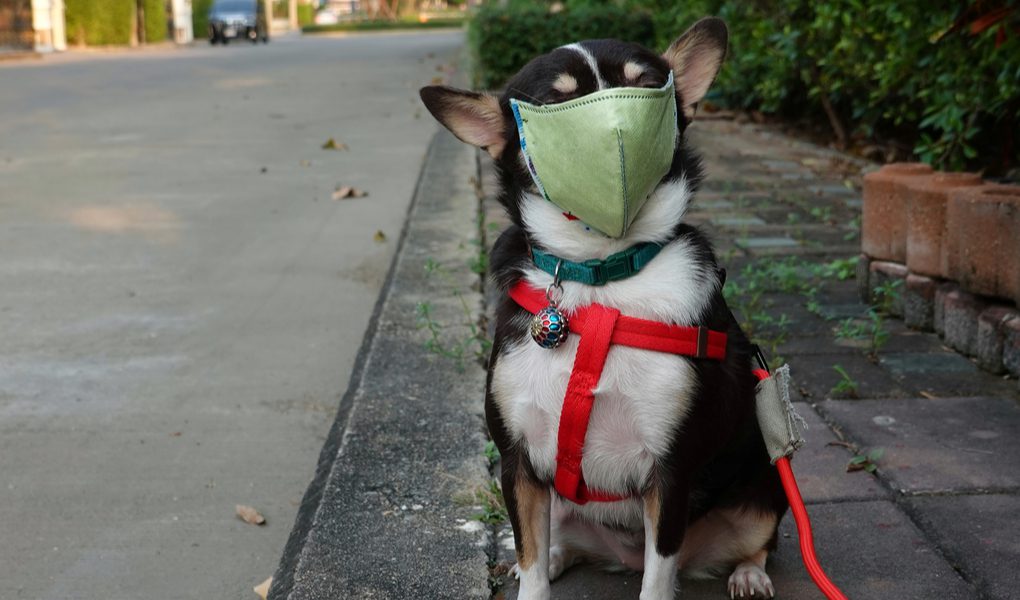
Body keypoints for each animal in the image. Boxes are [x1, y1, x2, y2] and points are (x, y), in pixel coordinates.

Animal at [418, 17, 783, 600]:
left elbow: (658, 578)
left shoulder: (670, 473)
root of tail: (620, 555)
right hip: (562, 503)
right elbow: (530, 558)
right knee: (553, 546)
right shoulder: (519, 465)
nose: (617, 129)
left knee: (758, 541)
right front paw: (532, 573)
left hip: (763, 489)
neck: (600, 281)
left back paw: (749, 574)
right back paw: (553, 557)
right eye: (555, 101)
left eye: (649, 85)